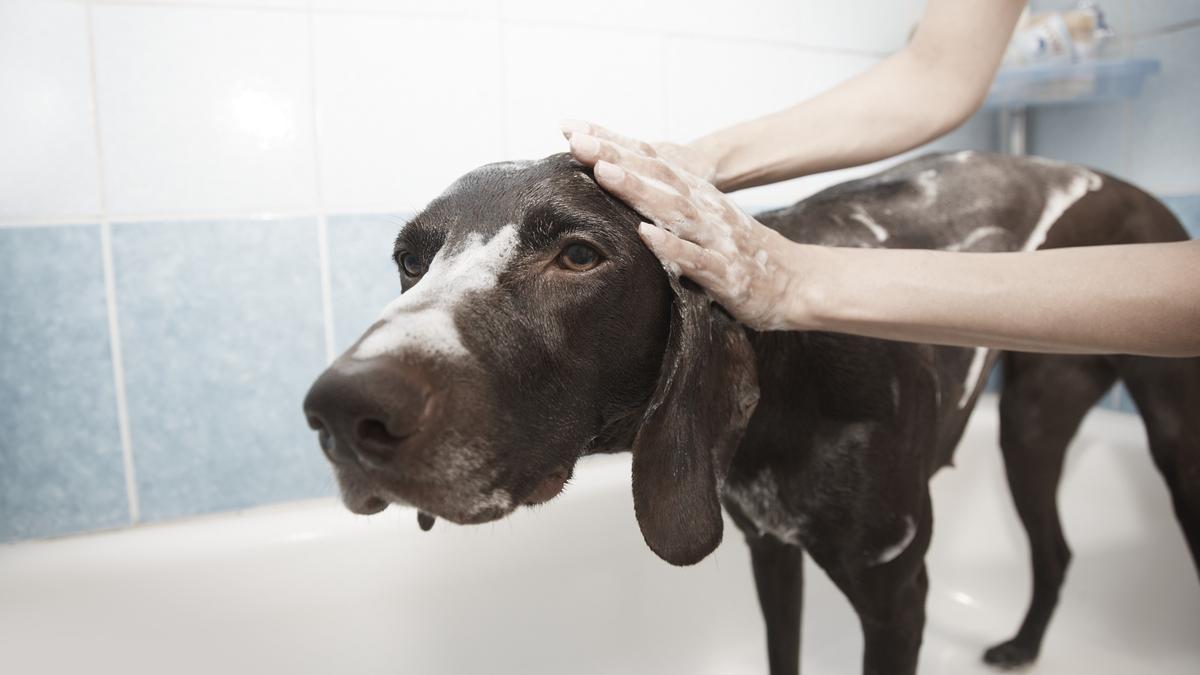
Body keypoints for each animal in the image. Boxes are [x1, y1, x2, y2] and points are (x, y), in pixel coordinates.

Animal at [302, 152, 1200, 672]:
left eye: (579, 255)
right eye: (409, 260)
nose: (341, 412)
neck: (792, 378)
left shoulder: (896, 596)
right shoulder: (770, 552)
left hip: (1152, 439)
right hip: (1032, 427)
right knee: (1055, 548)